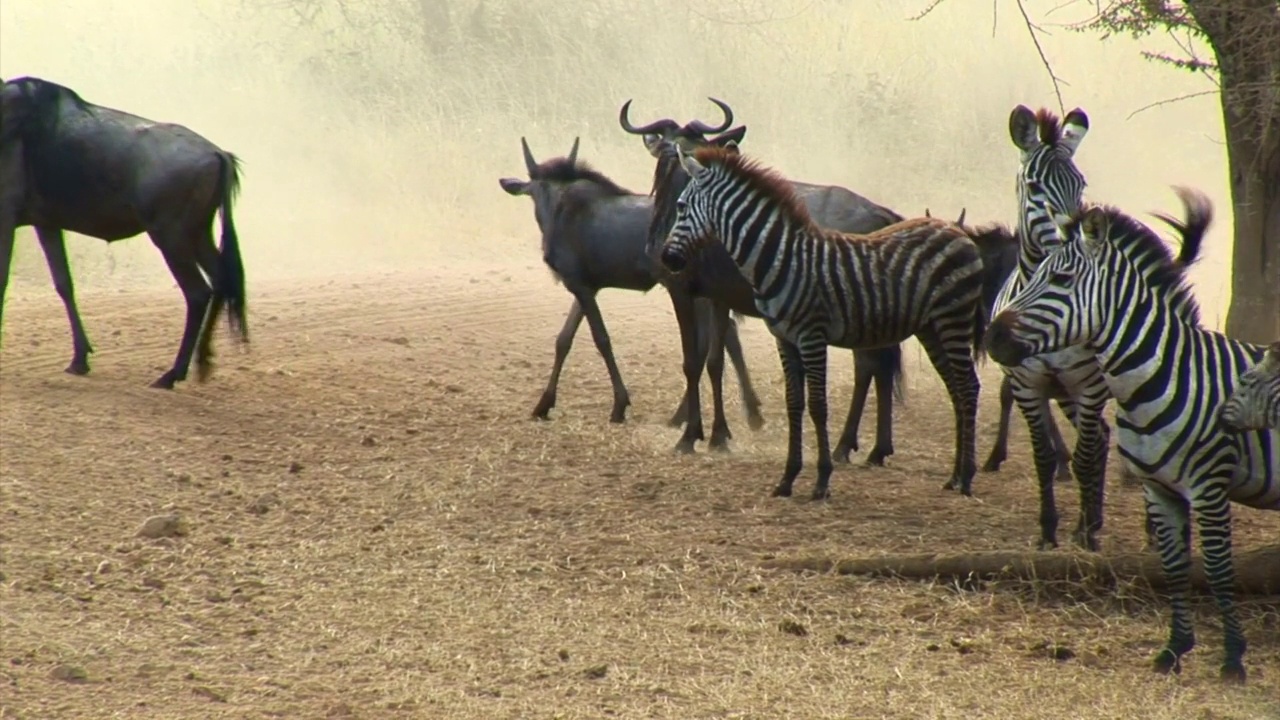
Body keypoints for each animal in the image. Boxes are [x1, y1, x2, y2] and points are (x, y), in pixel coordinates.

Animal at [655, 144, 983, 499]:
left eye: (681, 206)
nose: (666, 259)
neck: (779, 258)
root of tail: (954, 229)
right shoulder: (784, 338)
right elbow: (794, 403)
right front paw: (787, 478)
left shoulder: (812, 336)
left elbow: (817, 405)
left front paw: (822, 479)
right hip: (931, 327)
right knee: (955, 387)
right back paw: (953, 476)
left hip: (953, 319)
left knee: (967, 386)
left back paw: (966, 477)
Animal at [983, 192, 1274, 681]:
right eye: (1033, 274)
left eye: (1061, 278)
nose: (991, 337)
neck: (1167, 372)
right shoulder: (1160, 489)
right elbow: (1175, 567)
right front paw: (1174, 650)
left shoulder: (1209, 488)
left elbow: (1217, 567)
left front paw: (1233, 656)